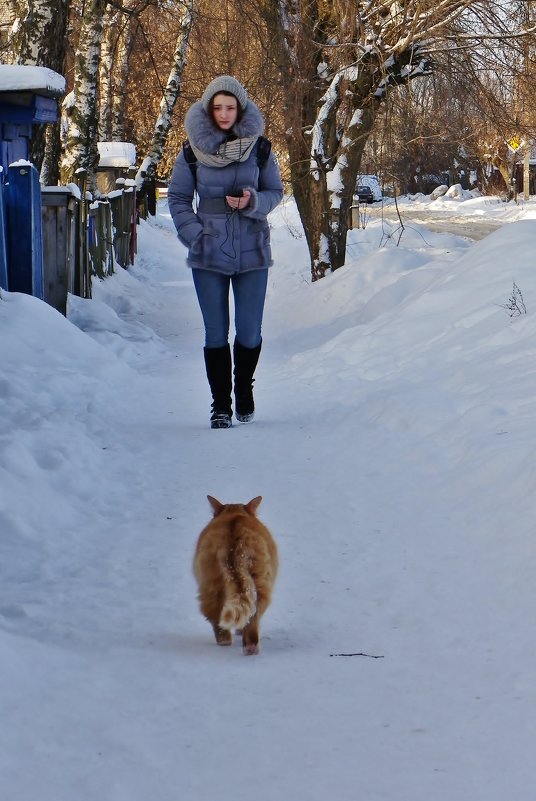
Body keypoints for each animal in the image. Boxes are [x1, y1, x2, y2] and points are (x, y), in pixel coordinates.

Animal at [193, 494, 278, 656]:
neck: (234, 513)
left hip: (211, 584)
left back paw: (228, 641)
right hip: (259, 582)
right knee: (252, 615)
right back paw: (247, 647)